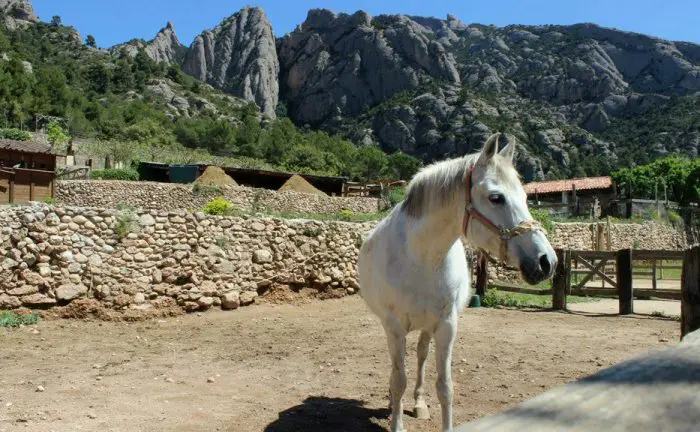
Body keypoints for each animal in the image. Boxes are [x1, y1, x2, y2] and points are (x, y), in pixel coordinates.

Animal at [358, 132, 556, 432]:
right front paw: (397, 421)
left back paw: (418, 403)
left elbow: (445, 387)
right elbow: (398, 378)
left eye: (524, 196)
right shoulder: (394, 327)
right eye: (496, 197)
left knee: (421, 355)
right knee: (398, 367)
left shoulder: (447, 325)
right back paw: (395, 404)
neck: (420, 256)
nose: (547, 262)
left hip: (428, 327)